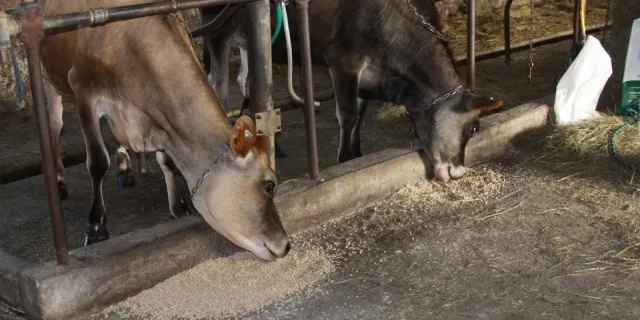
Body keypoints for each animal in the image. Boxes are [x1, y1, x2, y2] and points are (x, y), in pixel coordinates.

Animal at [38, 0, 292, 262]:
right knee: (54, 127)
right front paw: (97, 226)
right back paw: (60, 182)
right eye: (269, 185)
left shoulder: (159, 121)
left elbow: (167, 161)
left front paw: (178, 206)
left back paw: (125, 169)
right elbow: (98, 162)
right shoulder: (84, 92)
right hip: (48, 78)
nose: (286, 245)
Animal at [198, 0, 502, 181]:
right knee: (217, 86)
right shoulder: (343, 62)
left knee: (246, 81)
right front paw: (345, 160)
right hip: (218, 31)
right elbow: (348, 115)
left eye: (475, 129)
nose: (458, 171)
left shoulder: (367, 78)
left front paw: (357, 154)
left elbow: (360, 114)